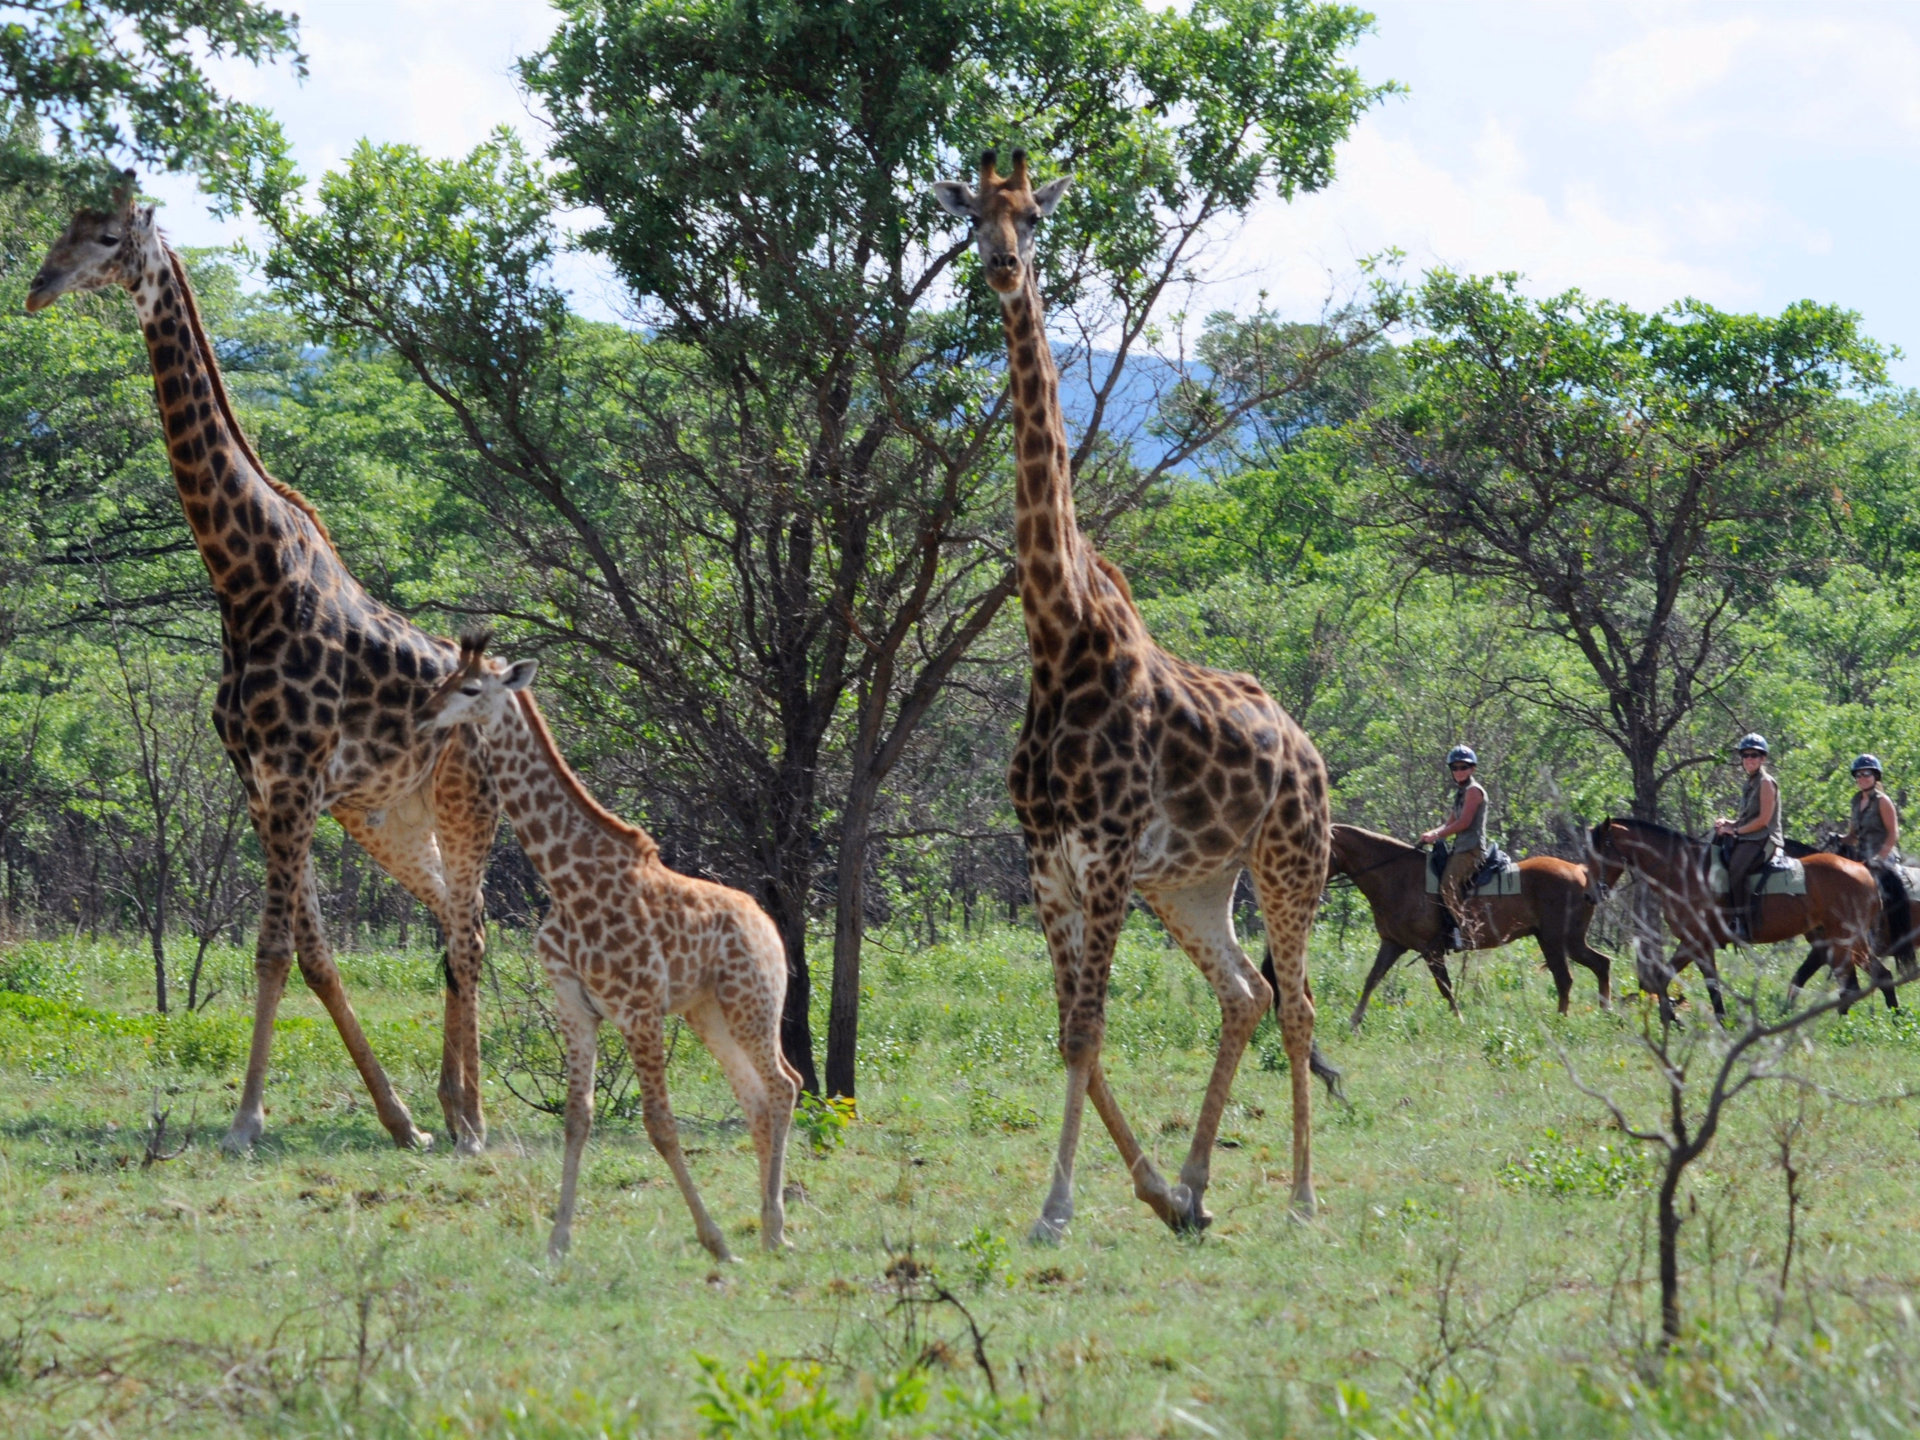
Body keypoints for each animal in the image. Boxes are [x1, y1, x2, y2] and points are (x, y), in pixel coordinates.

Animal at [1331, 825, 1614, 1030]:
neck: (1398, 878)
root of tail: (1582, 872)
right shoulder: (1392, 944)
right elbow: (1372, 979)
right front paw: (1354, 1022)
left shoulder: (1430, 951)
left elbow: (1445, 987)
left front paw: (1459, 1021)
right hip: (1557, 941)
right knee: (1598, 965)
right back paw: (1604, 1013)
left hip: (1560, 941)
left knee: (1569, 977)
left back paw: (1564, 1020)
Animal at [1587, 818, 1883, 1022]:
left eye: (1601, 851)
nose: (1593, 893)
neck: (1683, 871)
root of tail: (1863, 870)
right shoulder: (1695, 944)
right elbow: (1671, 980)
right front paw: (1676, 1017)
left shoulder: (1697, 943)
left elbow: (1687, 982)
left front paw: (1687, 1018)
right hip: (1835, 939)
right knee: (1867, 977)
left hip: (1844, 939)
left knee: (1857, 982)